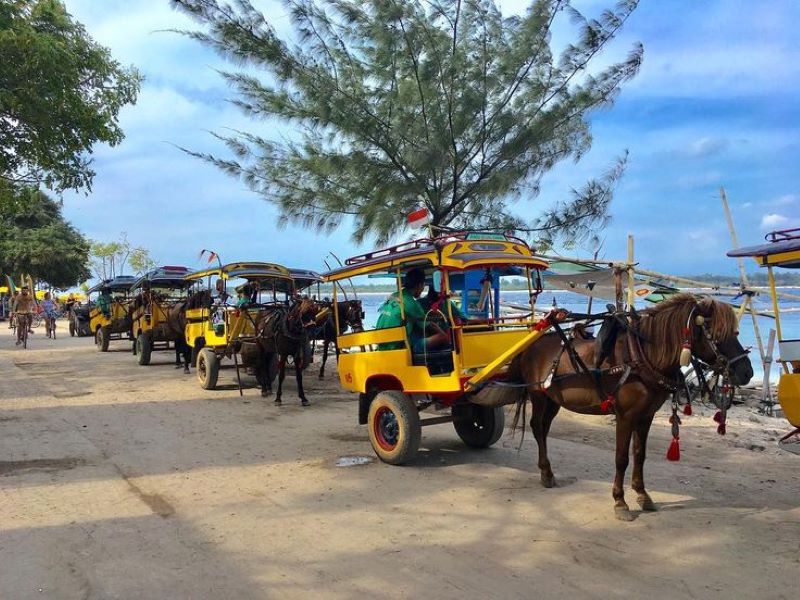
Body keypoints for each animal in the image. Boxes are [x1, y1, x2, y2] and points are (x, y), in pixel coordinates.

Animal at [506, 292, 752, 516]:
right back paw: (546, 473)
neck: (640, 358)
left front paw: (642, 495)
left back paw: (546, 471)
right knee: (537, 427)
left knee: (544, 428)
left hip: (553, 400)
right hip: (538, 395)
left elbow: (639, 454)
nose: (747, 372)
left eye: (736, 332)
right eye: (718, 334)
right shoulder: (625, 417)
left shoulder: (645, 416)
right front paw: (620, 501)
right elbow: (621, 458)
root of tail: (532, 343)